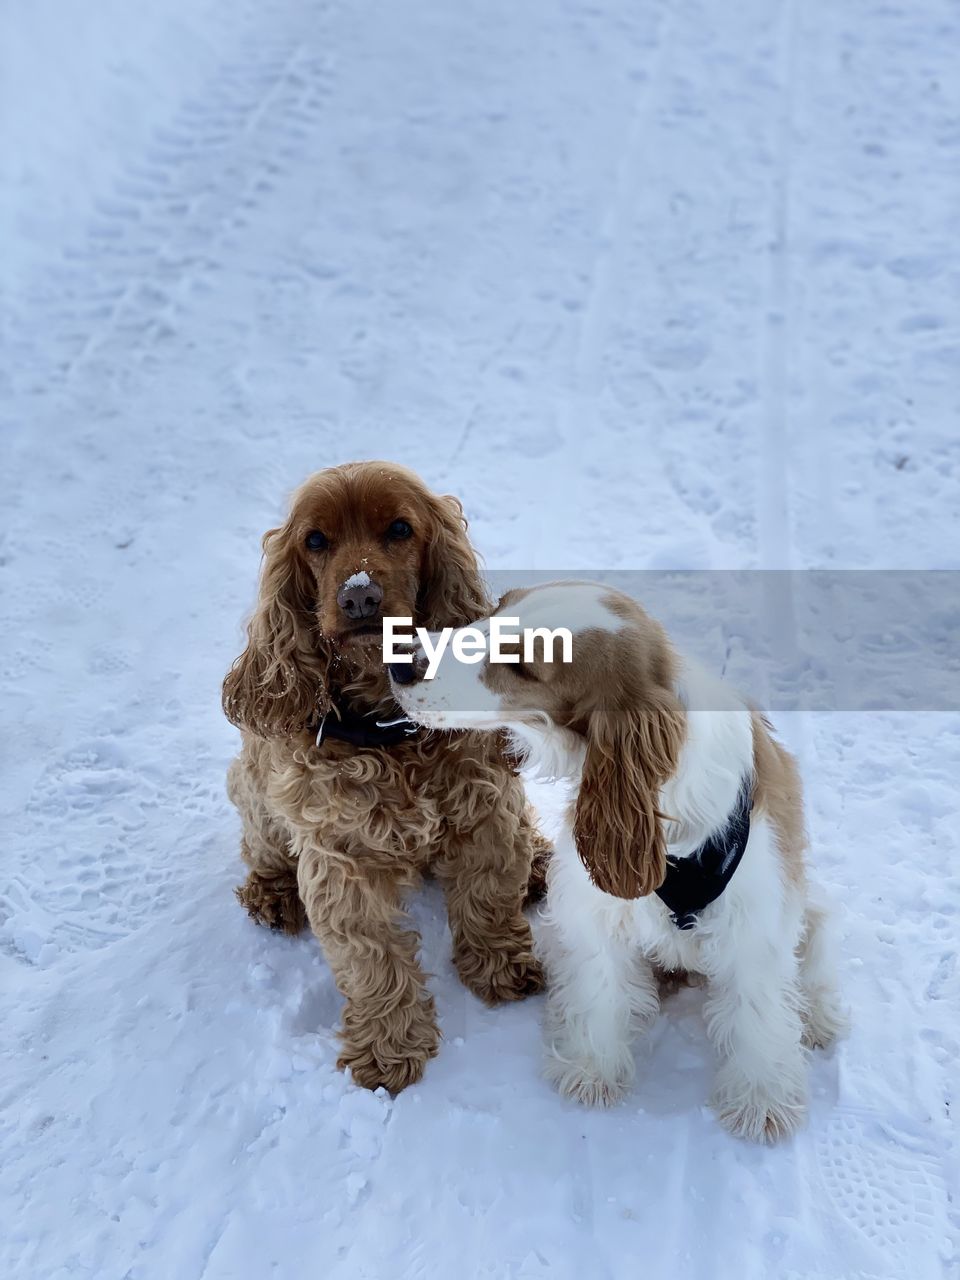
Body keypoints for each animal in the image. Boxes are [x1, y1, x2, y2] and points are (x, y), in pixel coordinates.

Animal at [391, 581, 849, 1141]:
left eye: (522, 665)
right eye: (497, 610)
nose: (400, 663)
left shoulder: (754, 924)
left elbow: (758, 1017)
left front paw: (761, 1101)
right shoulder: (597, 909)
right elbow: (600, 991)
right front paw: (592, 1069)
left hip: (808, 908)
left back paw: (819, 1018)